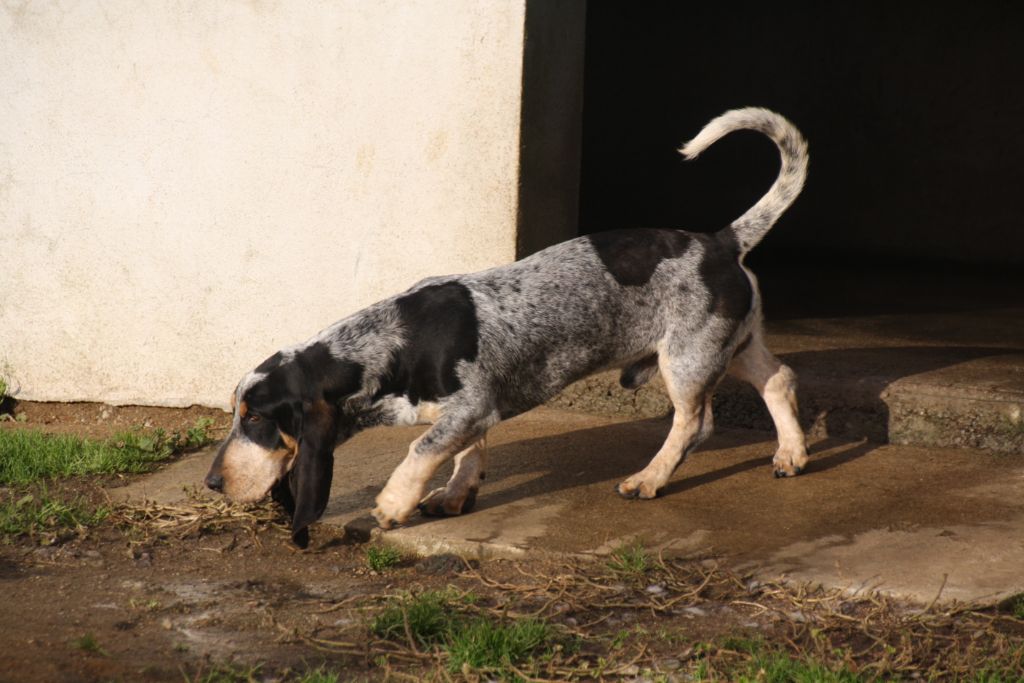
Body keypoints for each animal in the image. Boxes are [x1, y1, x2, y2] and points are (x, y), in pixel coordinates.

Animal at [205, 107, 806, 548]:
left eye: (255, 417)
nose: (211, 482)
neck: (391, 343)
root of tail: (721, 241)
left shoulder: (469, 407)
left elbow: (422, 447)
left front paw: (394, 504)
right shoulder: (472, 415)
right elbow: (465, 454)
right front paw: (454, 496)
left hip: (685, 360)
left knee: (694, 425)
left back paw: (649, 480)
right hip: (735, 343)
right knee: (780, 379)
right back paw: (791, 454)